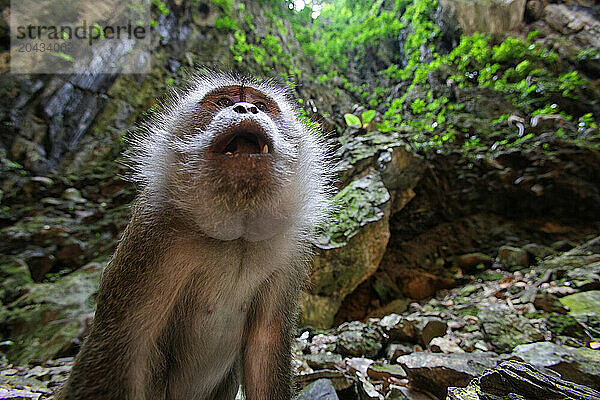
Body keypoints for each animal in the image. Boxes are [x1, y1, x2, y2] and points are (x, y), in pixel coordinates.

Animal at [58, 72, 330, 400]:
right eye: (224, 101)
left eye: (262, 105)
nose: (246, 109)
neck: (235, 237)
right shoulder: (153, 232)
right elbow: (121, 341)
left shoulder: (292, 248)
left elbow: (266, 343)